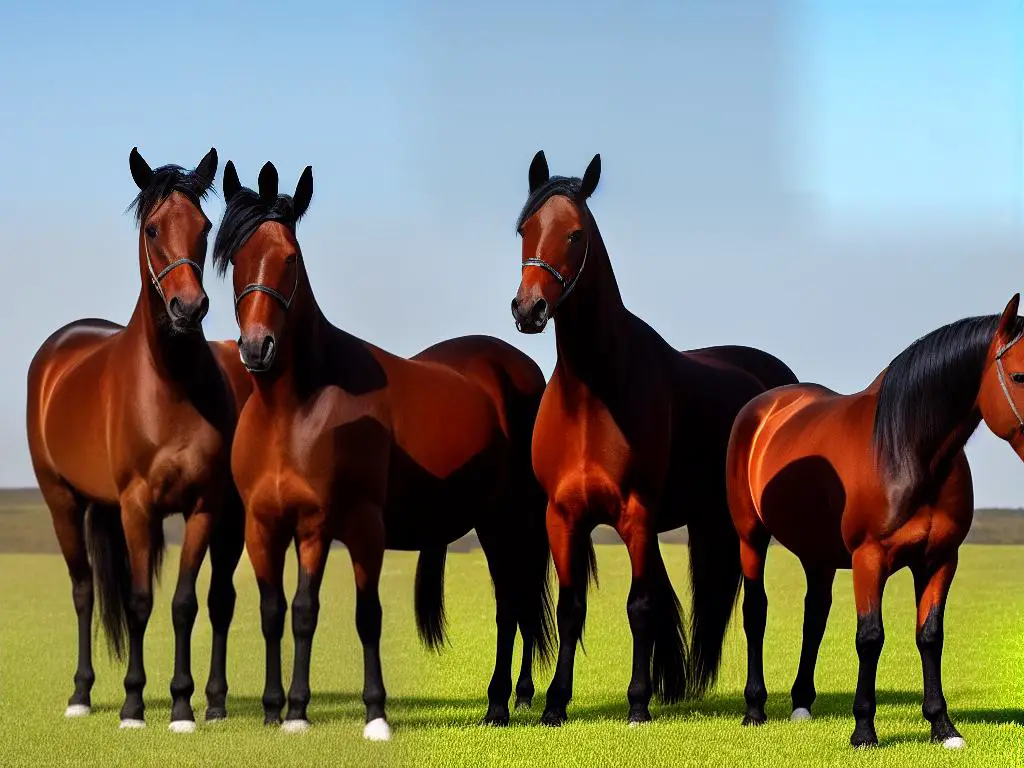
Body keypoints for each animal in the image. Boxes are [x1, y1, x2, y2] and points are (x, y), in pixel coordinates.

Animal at [24, 148, 251, 733]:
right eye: (152, 228)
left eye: (205, 226)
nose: (188, 309)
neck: (169, 387)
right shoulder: (137, 505)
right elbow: (139, 601)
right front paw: (132, 704)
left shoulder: (203, 506)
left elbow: (184, 603)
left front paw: (182, 706)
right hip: (63, 501)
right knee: (84, 590)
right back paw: (81, 694)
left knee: (220, 600)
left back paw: (215, 702)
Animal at [211, 160, 557, 741]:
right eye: (237, 258)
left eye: (291, 258)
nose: (257, 349)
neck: (295, 410)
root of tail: (525, 369)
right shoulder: (263, 527)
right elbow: (273, 611)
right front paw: (273, 707)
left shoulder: (336, 526)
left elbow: (340, 612)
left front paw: (355, 711)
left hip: (506, 518)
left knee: (512, 603)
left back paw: (499, 704)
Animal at [512, 151, 798, 729]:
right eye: (524, 228)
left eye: (575, 234)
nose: (528, 310)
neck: (593, 393)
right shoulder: (563, 516)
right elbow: (571, 608)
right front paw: (554, 704)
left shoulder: (637, 516)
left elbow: (640, 608)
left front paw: (639, 703)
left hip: (751, 526)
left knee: (756, 609)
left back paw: (760, 704)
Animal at [724, 290, 1024, 749]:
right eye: (1020, 375)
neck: (906, 451)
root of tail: (764, 407)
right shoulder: (869, 559)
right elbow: (870, 637)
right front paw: (864, 729)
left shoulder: (940, 559)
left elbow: (929, 636)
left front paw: (943, 726)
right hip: (751, 537)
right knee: (756, 611)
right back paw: (755, 709)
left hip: (818, 553)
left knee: (815, 615)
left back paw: (801, 704)